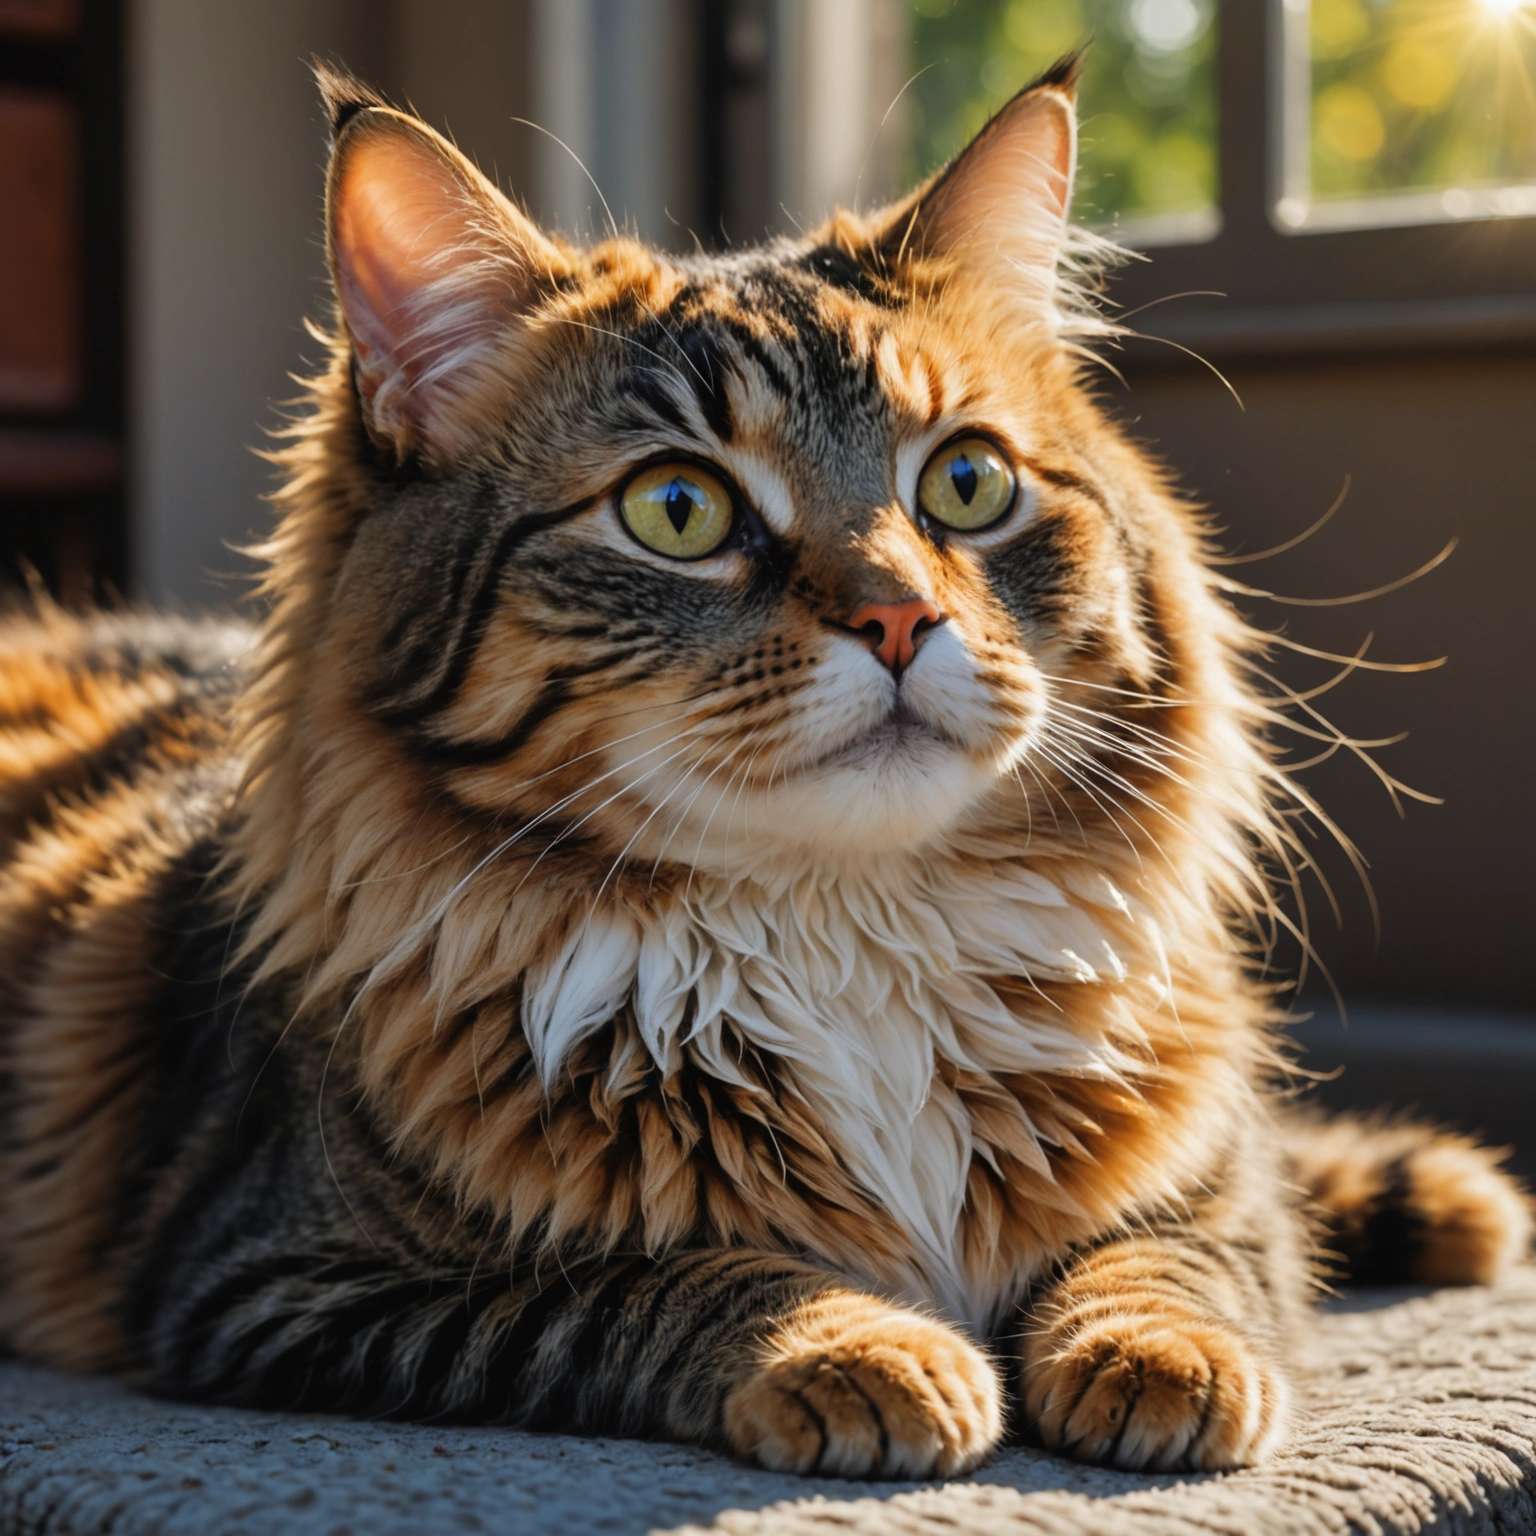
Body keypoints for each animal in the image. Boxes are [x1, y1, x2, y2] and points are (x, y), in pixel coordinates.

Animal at [0, 56, 1523, 1474]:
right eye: (678, 510)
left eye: (967, 484)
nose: (900, 616)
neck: (851, 932)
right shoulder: (282, 1277)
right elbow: (659, 1282)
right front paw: (865, 1352)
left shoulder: (1209, 1179)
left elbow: (1180, 1253)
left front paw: (1162, 1361)